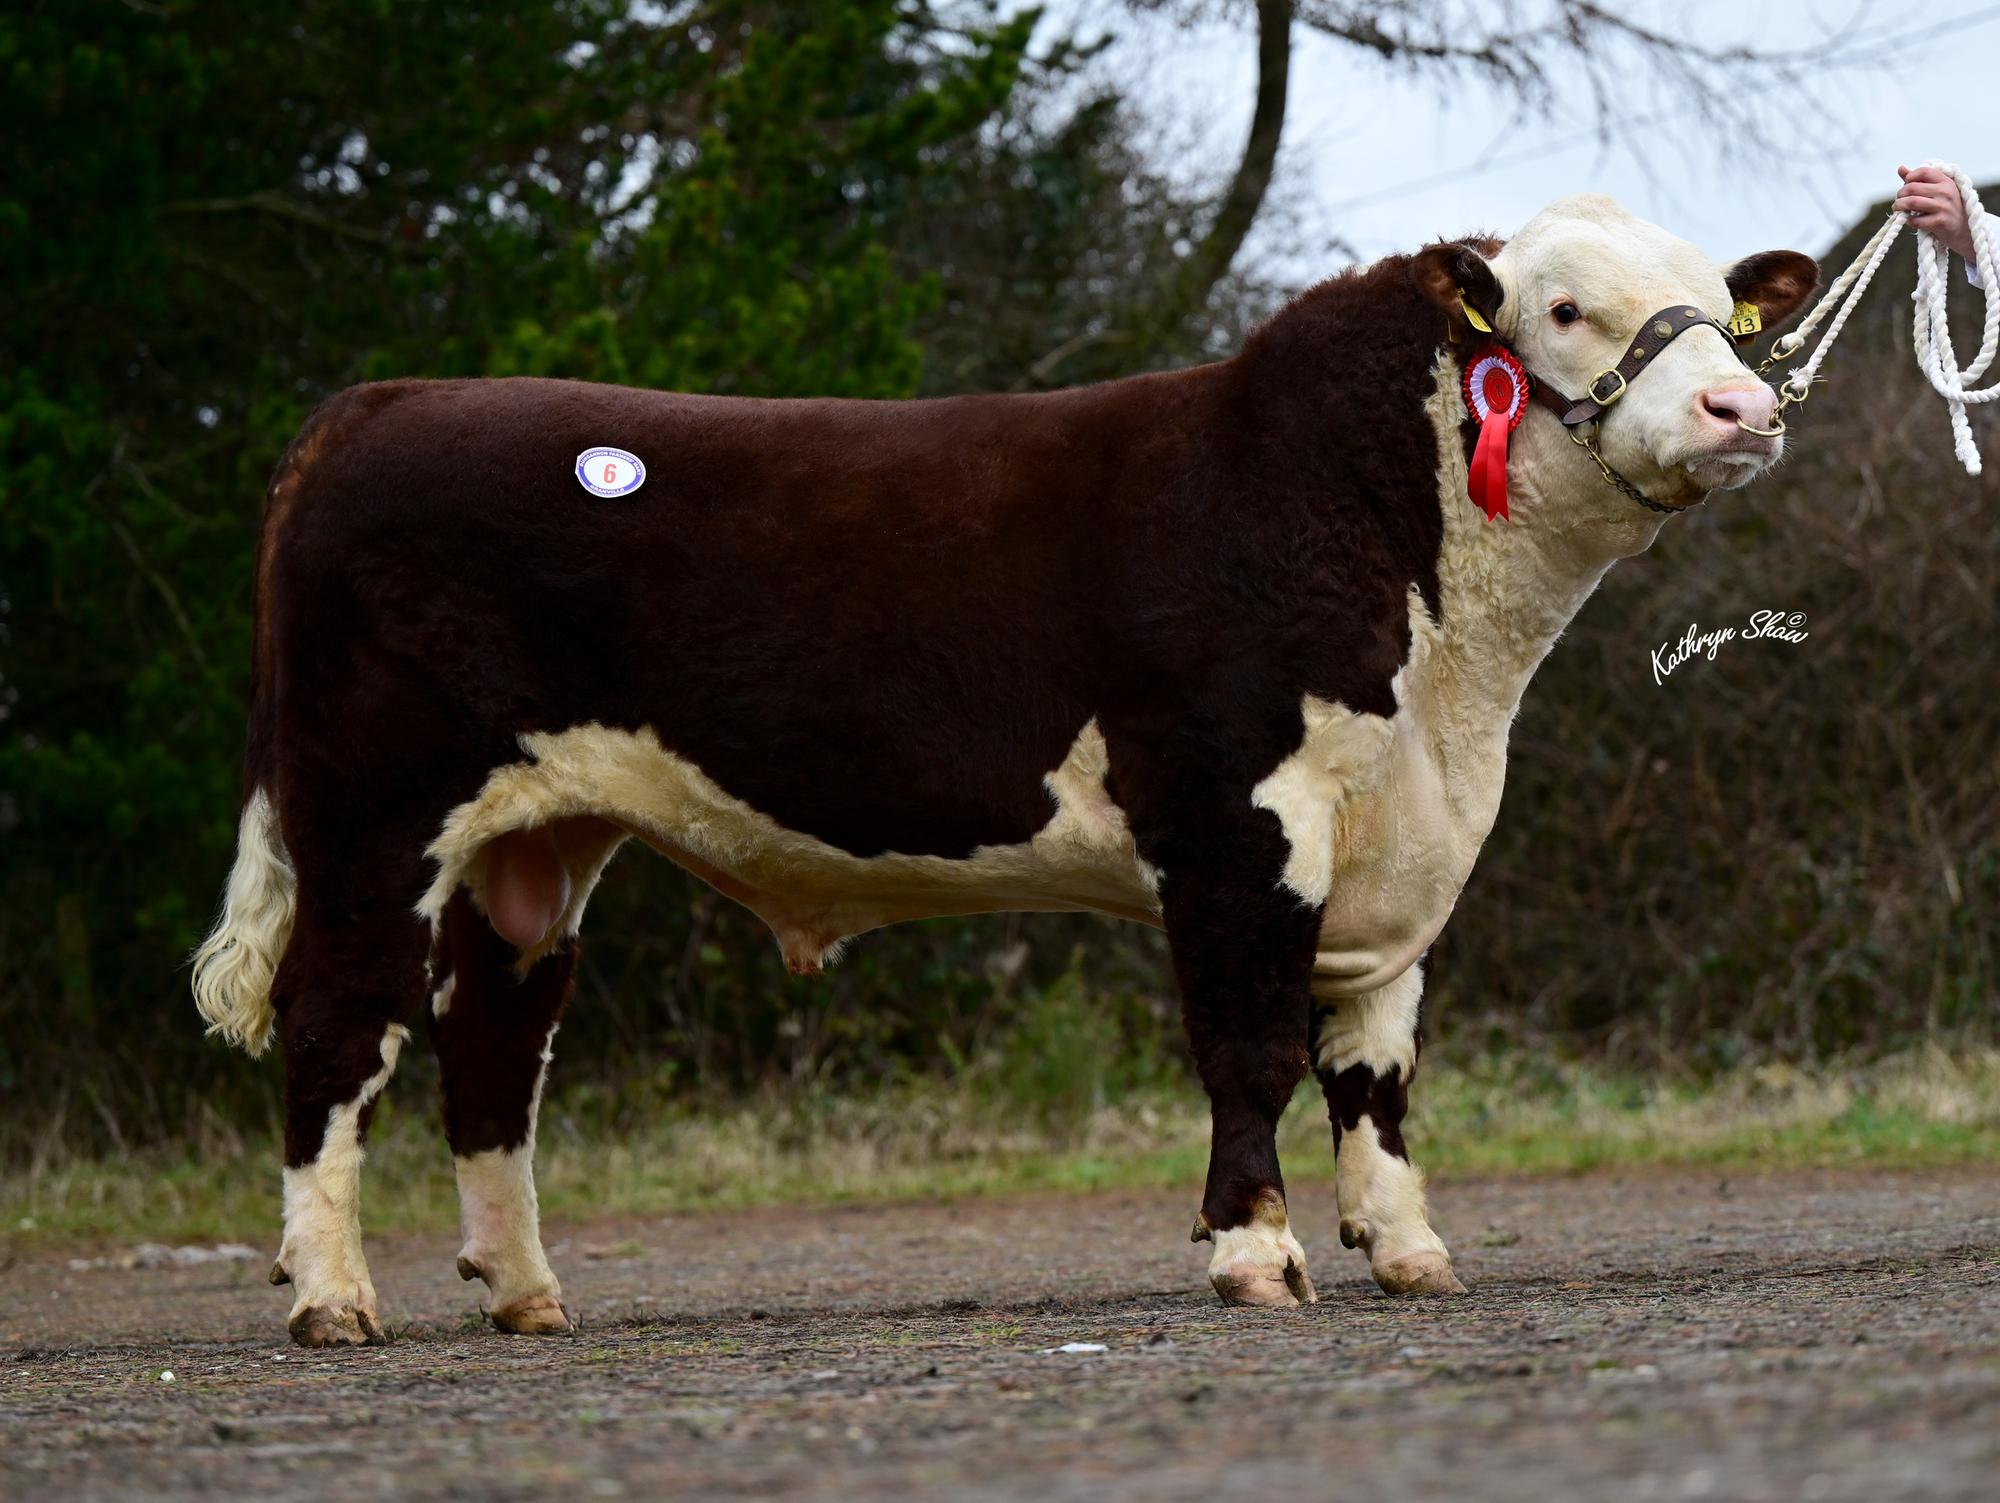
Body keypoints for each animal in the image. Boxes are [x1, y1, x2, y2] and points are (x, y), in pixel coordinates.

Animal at [192, 193, 1817, 1346]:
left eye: (1720, 304)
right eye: (1563, 307)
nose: (1744, 410)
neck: (1453, 669)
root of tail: (381, 402)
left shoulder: (1402, 839)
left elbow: (1375, 1067)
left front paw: (1409, 1249)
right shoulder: (1233, 823)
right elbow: (1251, 1046)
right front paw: (1256, 1251)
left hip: (533, 839)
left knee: (494, 1042)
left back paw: (526, 1292)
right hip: (373, 814)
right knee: (337, 1025)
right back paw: (331, 1297)